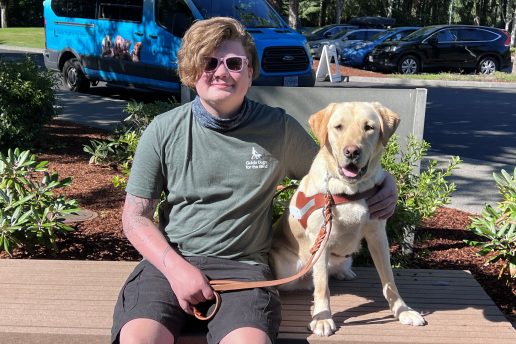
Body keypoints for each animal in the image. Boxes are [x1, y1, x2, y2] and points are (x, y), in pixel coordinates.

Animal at [268, 101, 426, 336]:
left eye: (369, 127)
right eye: (338, 127)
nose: (351, 151)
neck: (350, 190)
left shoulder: (378, 236)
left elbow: (389, 281)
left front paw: (403, 310)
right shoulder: (321, 240)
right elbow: (322, 287)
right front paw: (322, 318)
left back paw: (343, 272)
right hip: (289, 266)